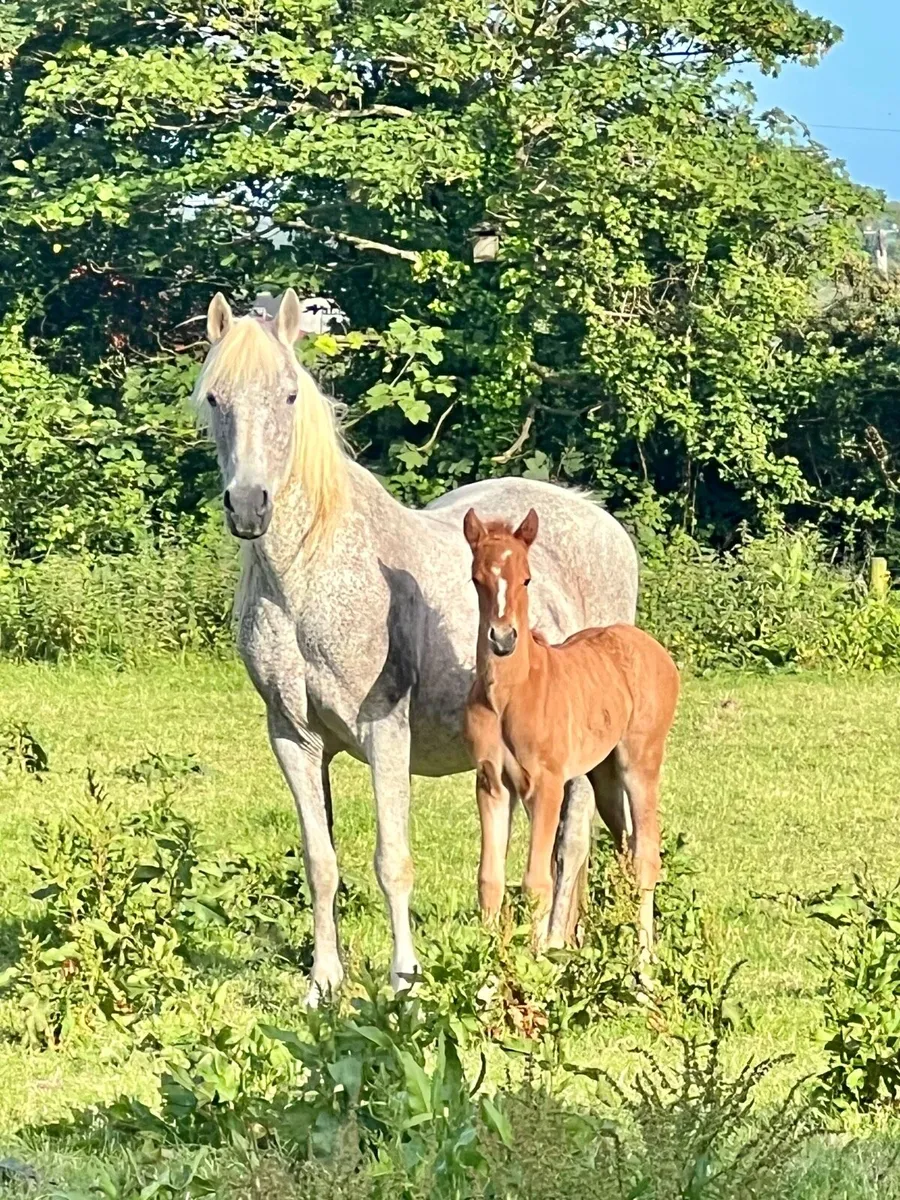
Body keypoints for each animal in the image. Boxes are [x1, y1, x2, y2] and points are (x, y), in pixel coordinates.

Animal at [194, 288, 640, 1003]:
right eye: (215, 396)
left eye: (289, 395)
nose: (249, 506)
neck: (309, 577)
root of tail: (600, 521)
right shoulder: (292, 737)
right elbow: (321, 862)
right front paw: (322, 984)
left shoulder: (385, 731)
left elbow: (392, 860)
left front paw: (405, 980)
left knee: (572, 844)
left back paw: (549, 951)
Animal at [462, 508, 679, 958]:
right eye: (477, 578)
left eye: (527, 578)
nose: (503, 639)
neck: (510, 693)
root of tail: (652, 648)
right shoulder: (492, 783)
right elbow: (490, 881)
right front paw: (489, 967)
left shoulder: (546, 785)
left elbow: (536, 882)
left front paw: (535, 962)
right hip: (604, 774)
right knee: (625, 845)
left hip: (641, 763)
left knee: (647, 855)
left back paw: (643, 960)